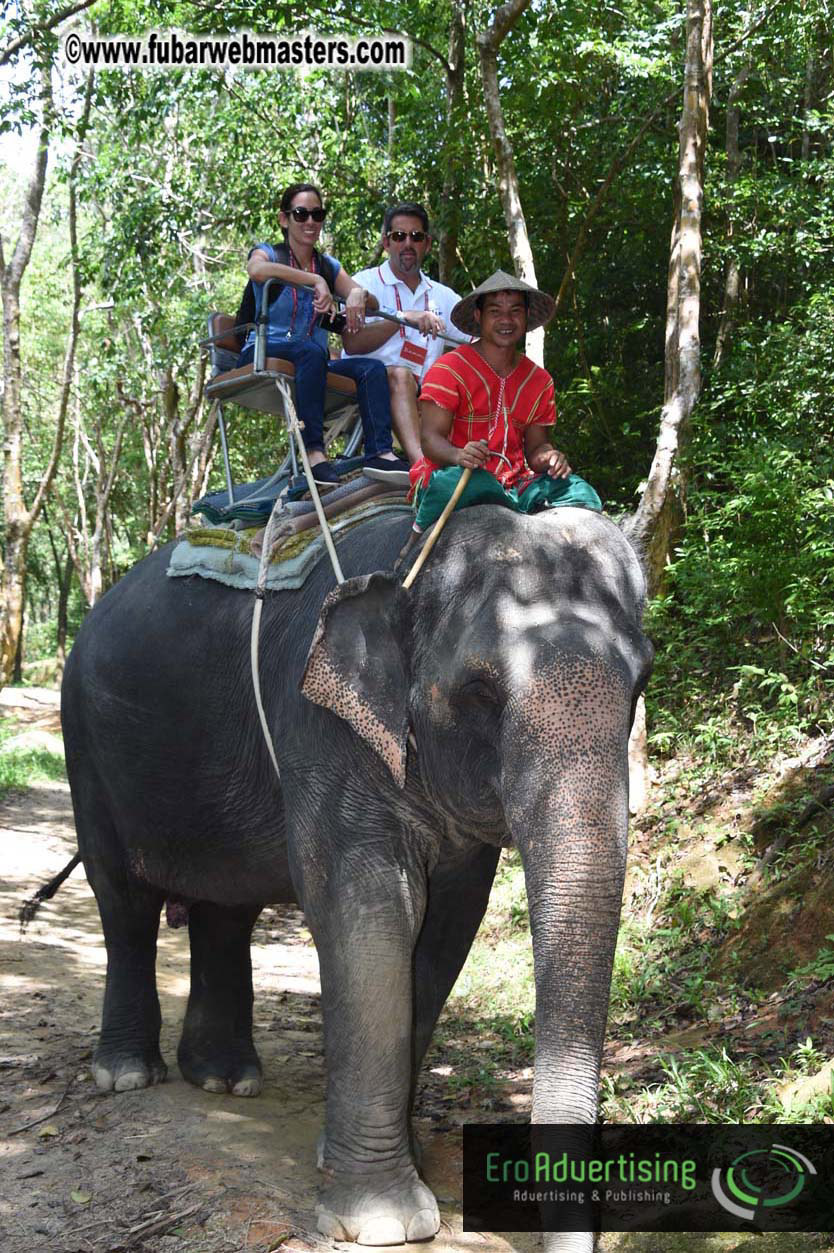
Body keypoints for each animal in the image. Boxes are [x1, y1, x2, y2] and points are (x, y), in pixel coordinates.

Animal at [61, 502, 653, 1253]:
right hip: (87, 743)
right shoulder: (323, 726)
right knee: (124, 899)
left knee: (226, 907)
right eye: (480, 692)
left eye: (639, 687)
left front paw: (385, 1161)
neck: (418, 557)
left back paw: (225, 1079)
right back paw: (130, 1074)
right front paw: (383, 1221)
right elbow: (370, 910)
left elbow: (446, 927)